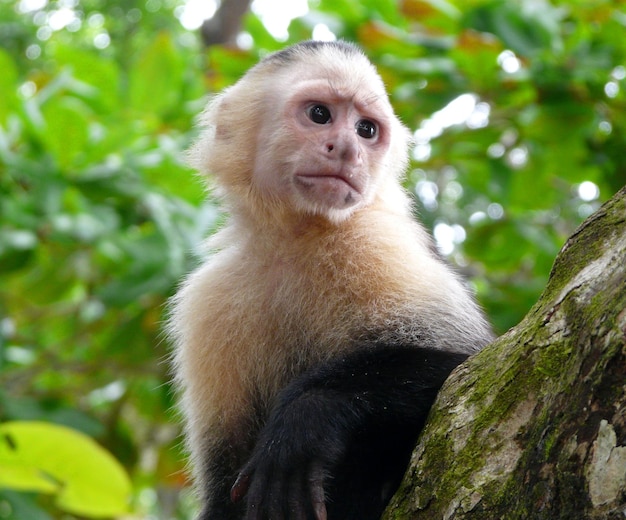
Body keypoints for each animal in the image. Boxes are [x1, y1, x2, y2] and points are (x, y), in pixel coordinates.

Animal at [169, 41, 492, 520]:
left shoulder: (376, 243)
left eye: (366, 129)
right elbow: (223, 486)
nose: (347, 150)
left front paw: (307, 417)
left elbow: (464, 364)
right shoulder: (207, 301)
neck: (297, 238)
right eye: (320, 114)